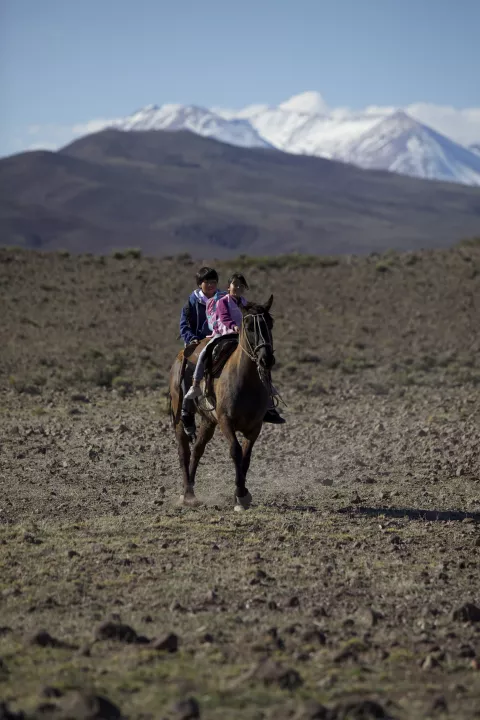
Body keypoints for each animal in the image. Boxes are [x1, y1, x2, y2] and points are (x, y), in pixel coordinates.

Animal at [169, 296, 276, 510]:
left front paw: (242, 493)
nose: (266, 359)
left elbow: (246, 457)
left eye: (270, 324)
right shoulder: (226, 421)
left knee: (197, 449)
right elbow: (235, 451)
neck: (246, 382)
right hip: (180, 419)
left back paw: (191, 488)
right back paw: (187, 494)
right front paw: (240, 496)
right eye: (249, 326)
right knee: (184, 451)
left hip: (208, 421)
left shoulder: (255, 427)